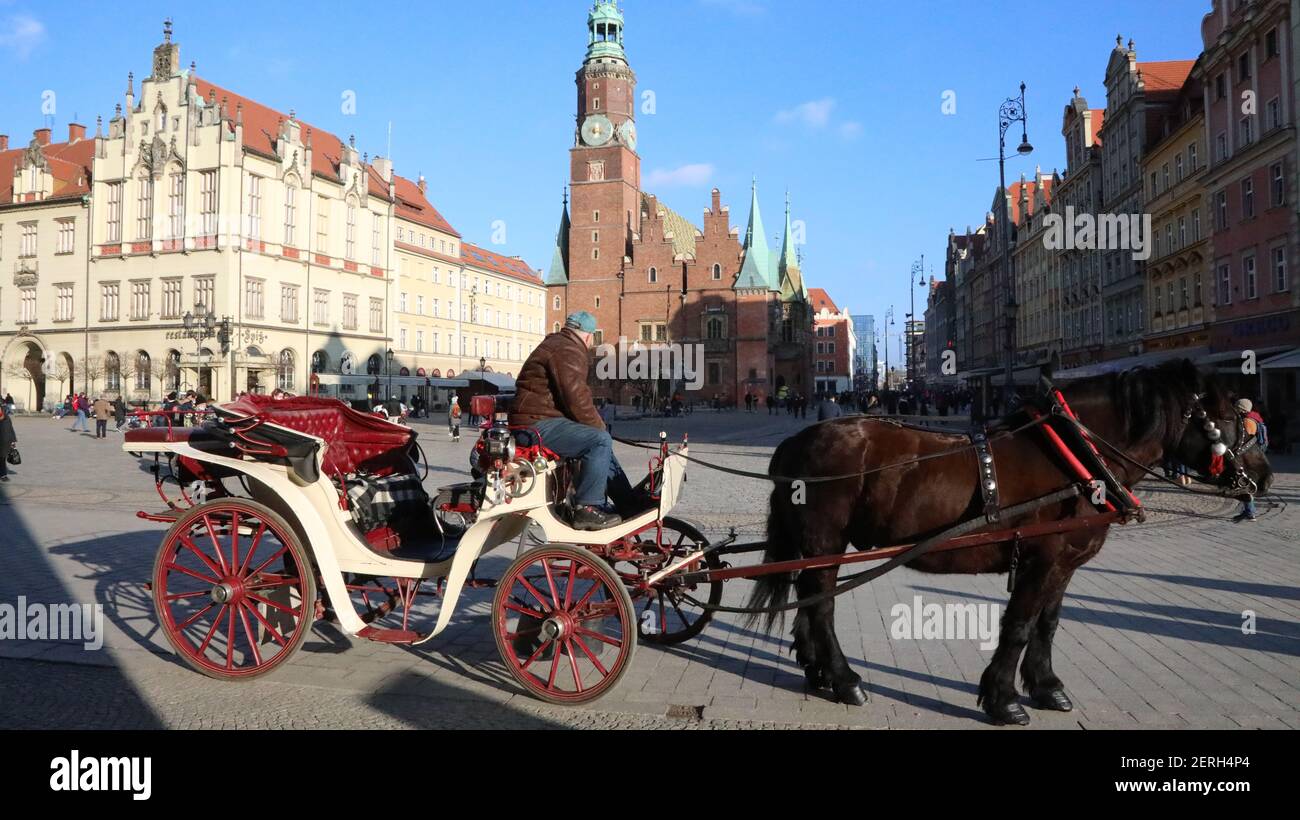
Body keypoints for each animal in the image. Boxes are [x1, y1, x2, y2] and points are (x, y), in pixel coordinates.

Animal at [754, 358, 1268, 722]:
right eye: (1226, 415)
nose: (1263, 475)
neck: (1076, 456)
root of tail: (796, 440)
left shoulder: (1064, 561)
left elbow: (1047, 624)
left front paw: (1046, 686)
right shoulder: (1041, 558)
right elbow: (1019, 625)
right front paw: (1003, 699)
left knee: (808, 599)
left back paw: (817, 671)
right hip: (825, 542)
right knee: (822, 605)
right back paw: (844, 680)